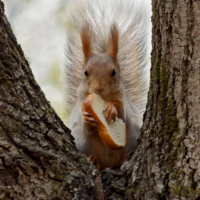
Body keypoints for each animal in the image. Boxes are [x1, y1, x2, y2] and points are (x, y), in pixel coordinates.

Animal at [65, 0, 151, 170]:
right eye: (85, 72)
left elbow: (122, 113)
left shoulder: (122, 101)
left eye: (114, 72)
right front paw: (87, 119)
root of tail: (109, 162)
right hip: (82, 141)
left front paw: (111, 109)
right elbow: (85, 123)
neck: (103, 98)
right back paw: (94, 160)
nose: (99, 88)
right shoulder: (81, 103)